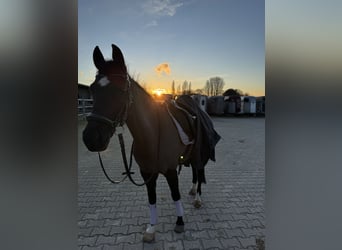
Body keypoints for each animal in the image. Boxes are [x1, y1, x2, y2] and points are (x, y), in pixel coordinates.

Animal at [82, 43, 216, 242]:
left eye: (121, 90)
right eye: (92, 88)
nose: (91, 138)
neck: (152, 135)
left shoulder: (170, 171)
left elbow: (175, 195)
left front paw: (180, 222)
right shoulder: (147, 173)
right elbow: (151, 199)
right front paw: (151, 229)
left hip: (200, 153)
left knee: (199, 172)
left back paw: (198, 199)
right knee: (194, 170)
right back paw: (193, 191)